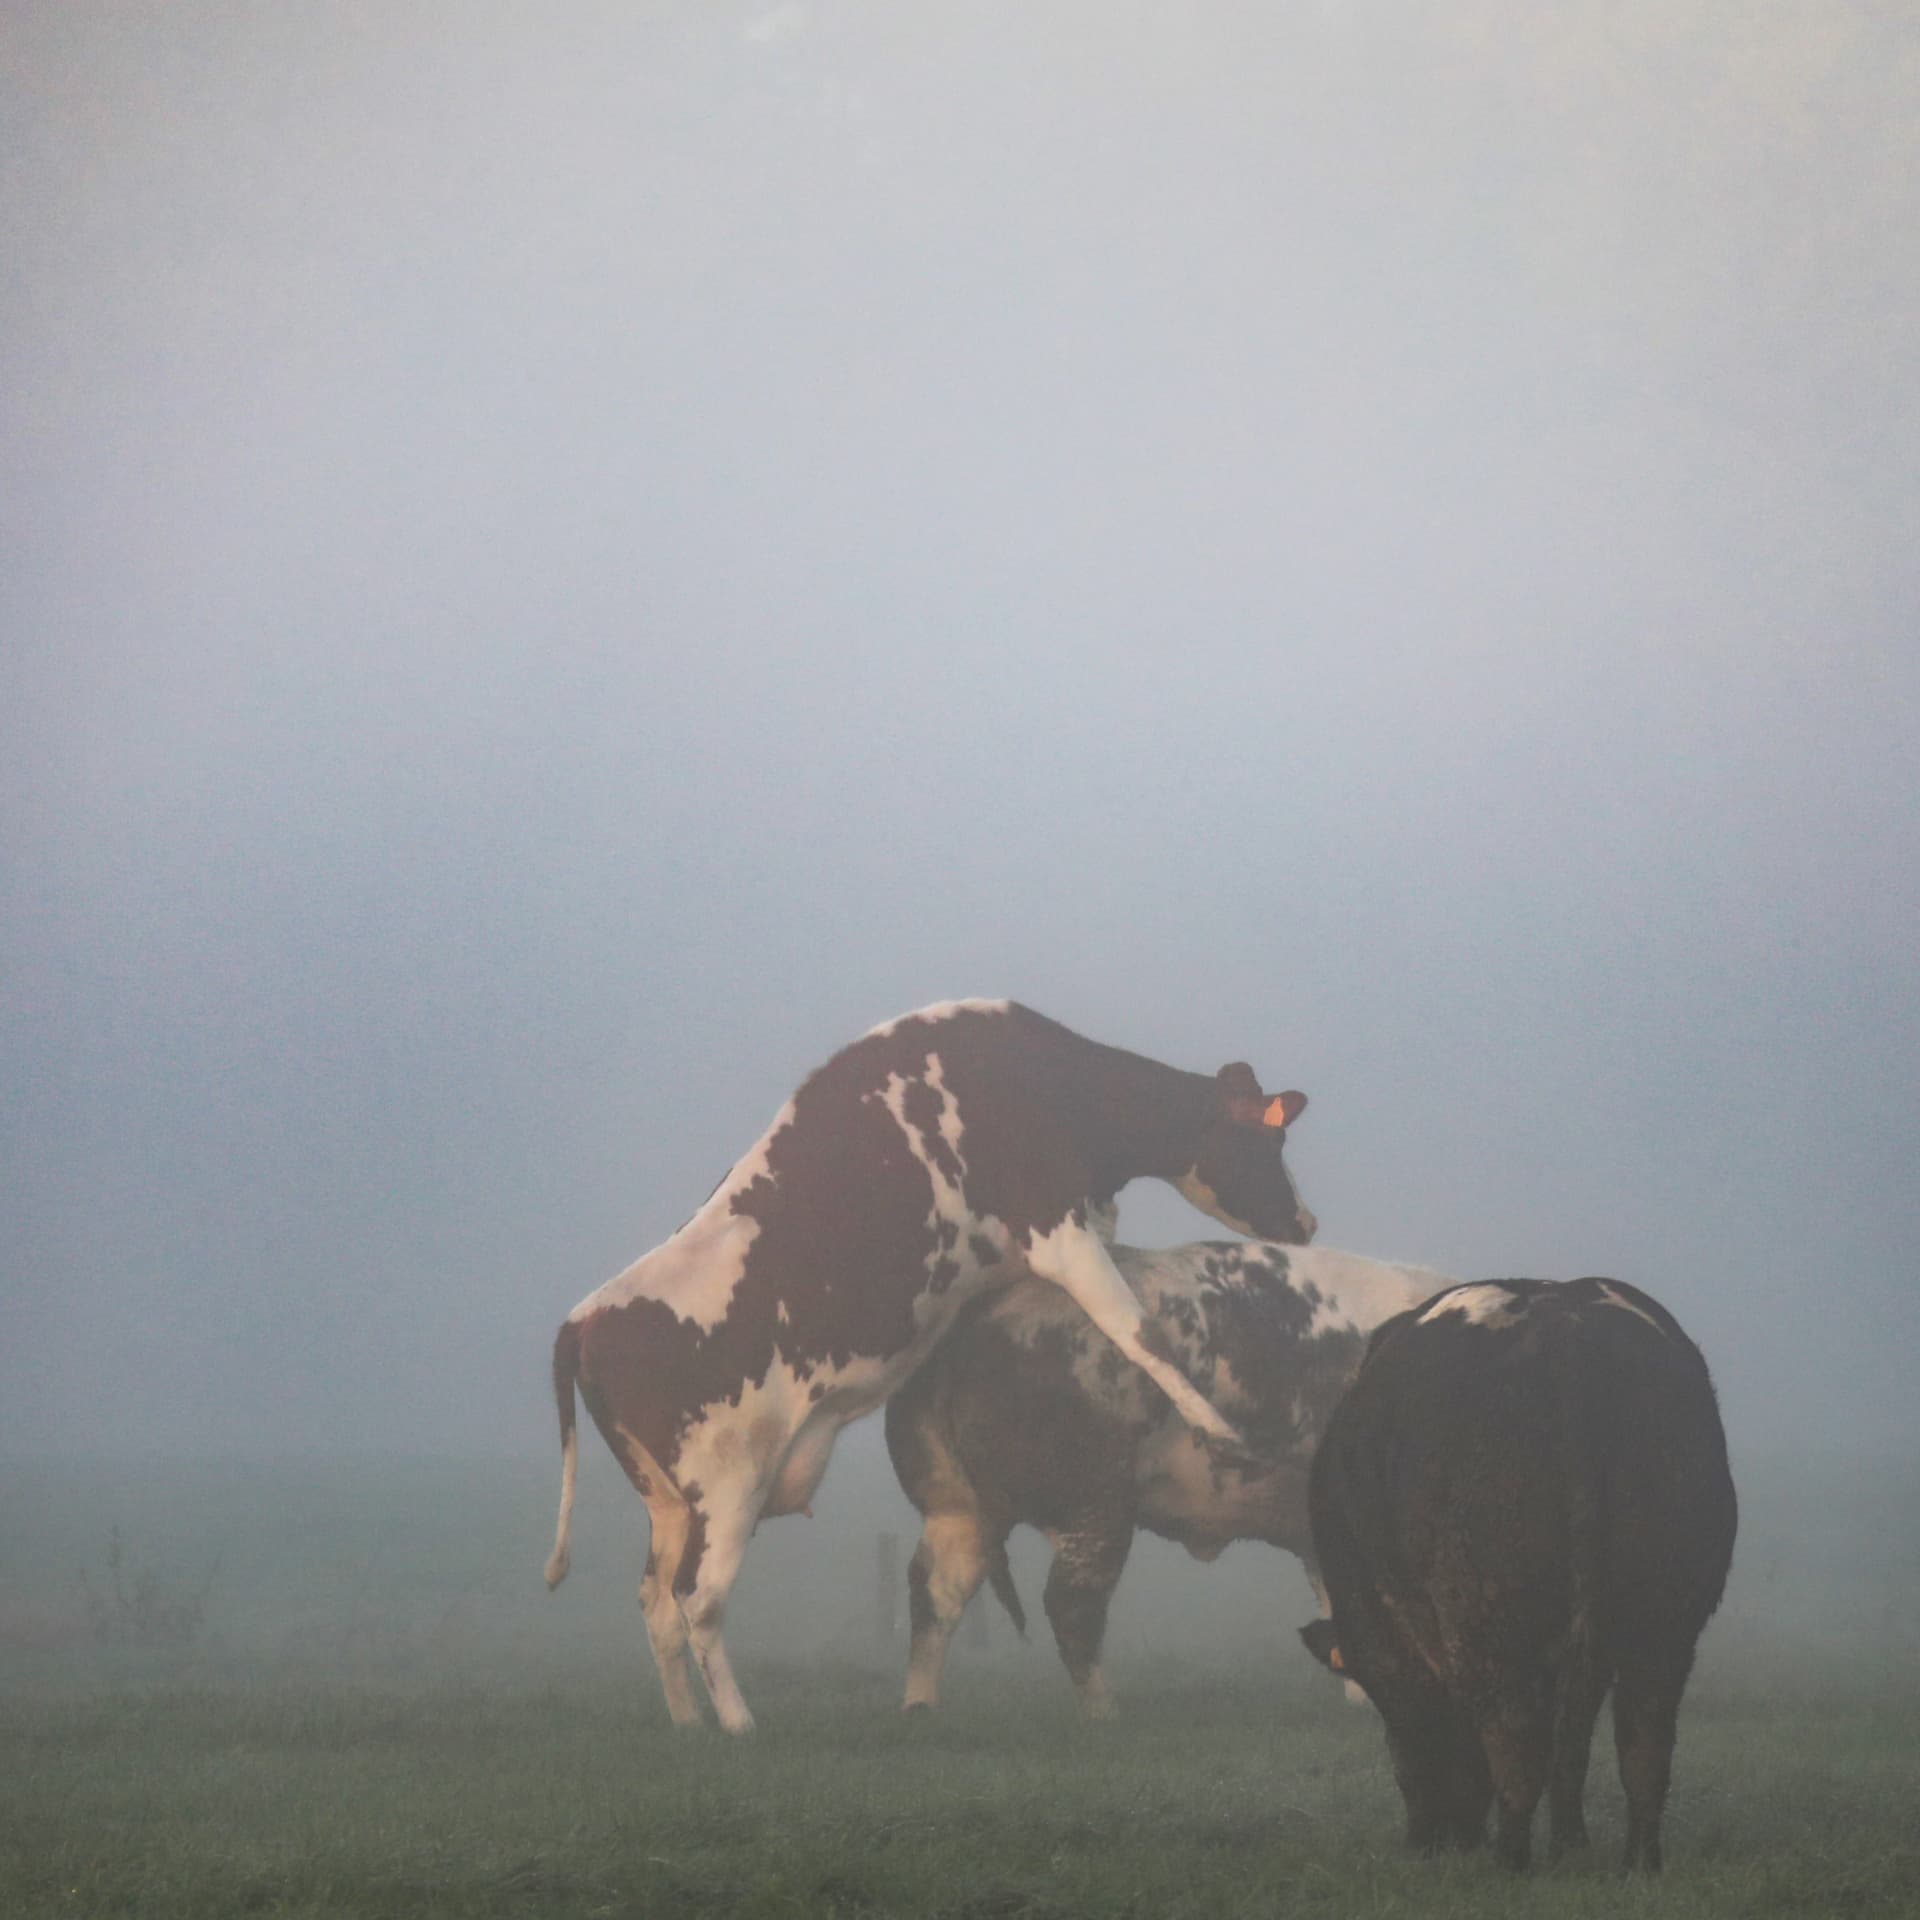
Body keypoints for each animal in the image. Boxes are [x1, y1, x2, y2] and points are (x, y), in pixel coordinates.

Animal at [544, 1000, 1317, 1733]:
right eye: (1271, 1138)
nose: (1305, 1225)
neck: (1047, 1081)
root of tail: (584, 1318)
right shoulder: (1057, 1229)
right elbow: (1137, 1328)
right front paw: (1216, 1425)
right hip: (727, 1486)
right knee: (697, 1599)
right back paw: (738, 1723)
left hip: (670, 1502)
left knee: (656, 1603)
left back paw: (687, 1721)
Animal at [884, 1230, 1445, 1717]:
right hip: (1093, 1502)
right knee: (1070, 1603)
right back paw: (1105, 1712)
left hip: (958, 1506)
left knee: (934, 1589)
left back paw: (920, 1707)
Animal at [1298, 1277, 1737, 1872]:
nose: (1431, 1839)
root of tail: (1570, 1332)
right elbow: (1572, 1746)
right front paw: (1571, 1841)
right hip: (1662, 1620)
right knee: (1643, 1743)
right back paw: (1636, 1863)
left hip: (1487, 1617)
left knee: (1516, 1738)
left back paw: (1510, 1860)